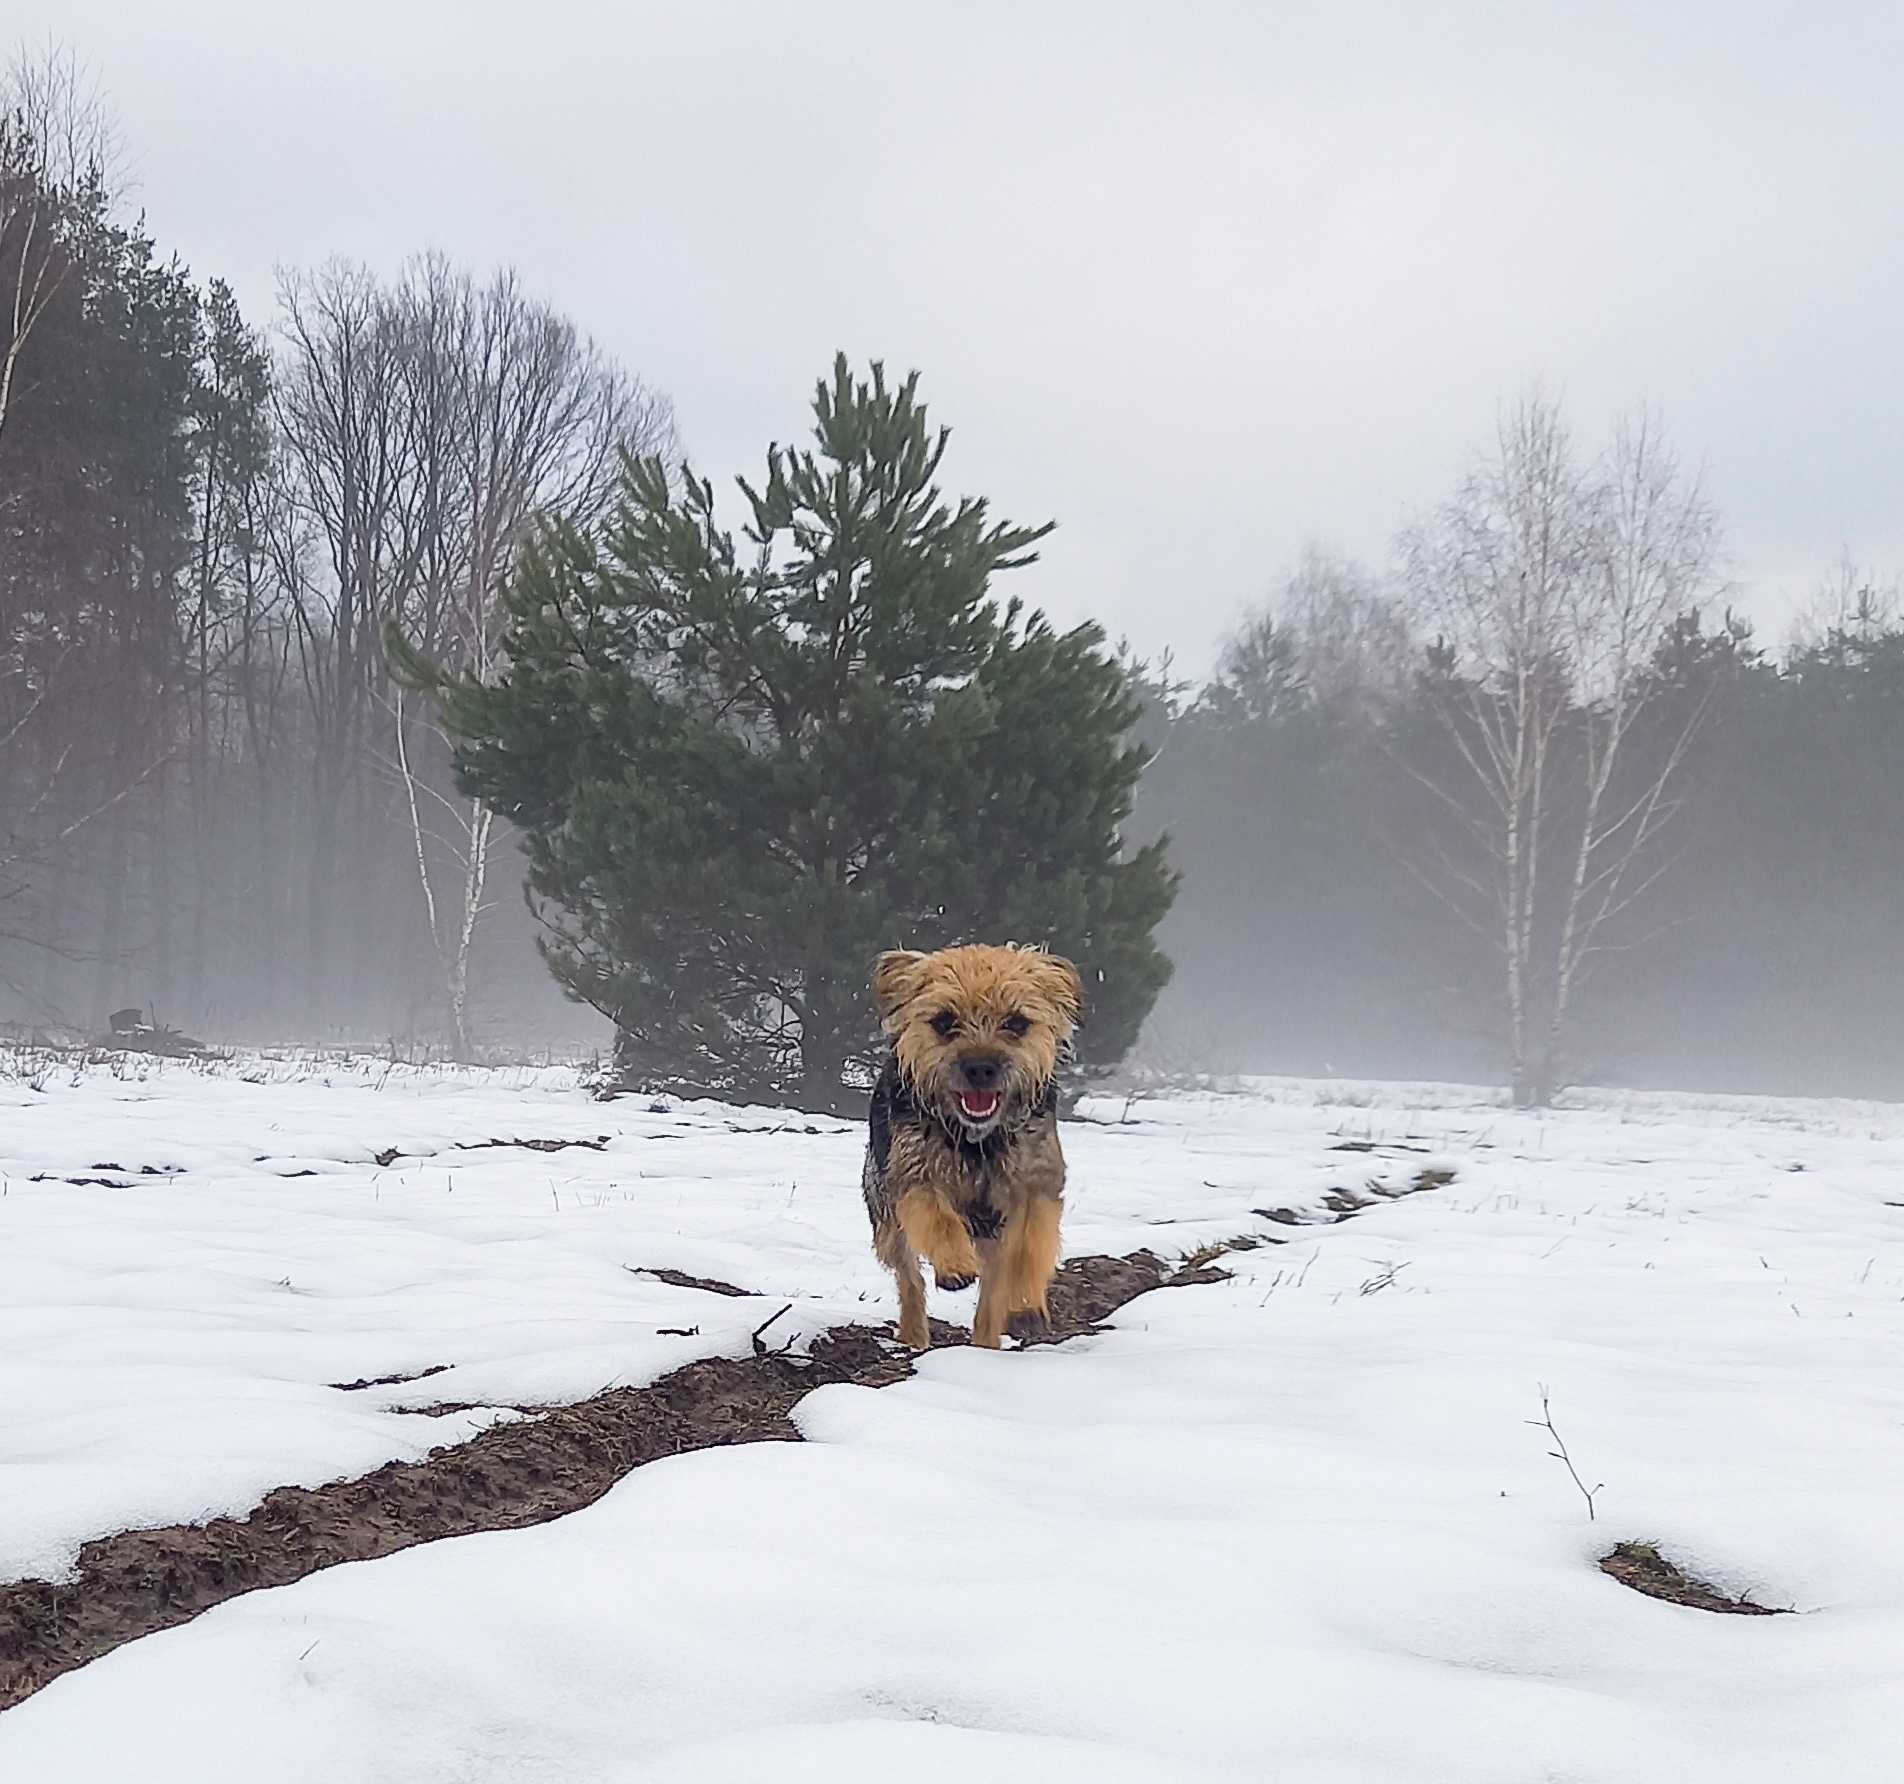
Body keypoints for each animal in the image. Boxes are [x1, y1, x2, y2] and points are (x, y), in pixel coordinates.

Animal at [868, 940, 1089, 1340]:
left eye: (1016, 1022)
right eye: (944, 1021)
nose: (981, 1067)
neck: (980, 1141)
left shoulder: (1037, 1185)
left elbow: (1027, 1247)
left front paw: (1025, 1308)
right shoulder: (914, 1173)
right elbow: (937, 1217)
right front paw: (955, 1266)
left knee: (992, 1293)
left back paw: (987, 1340)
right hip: (885, 1218)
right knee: (909, 1277)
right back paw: (914, 1334)